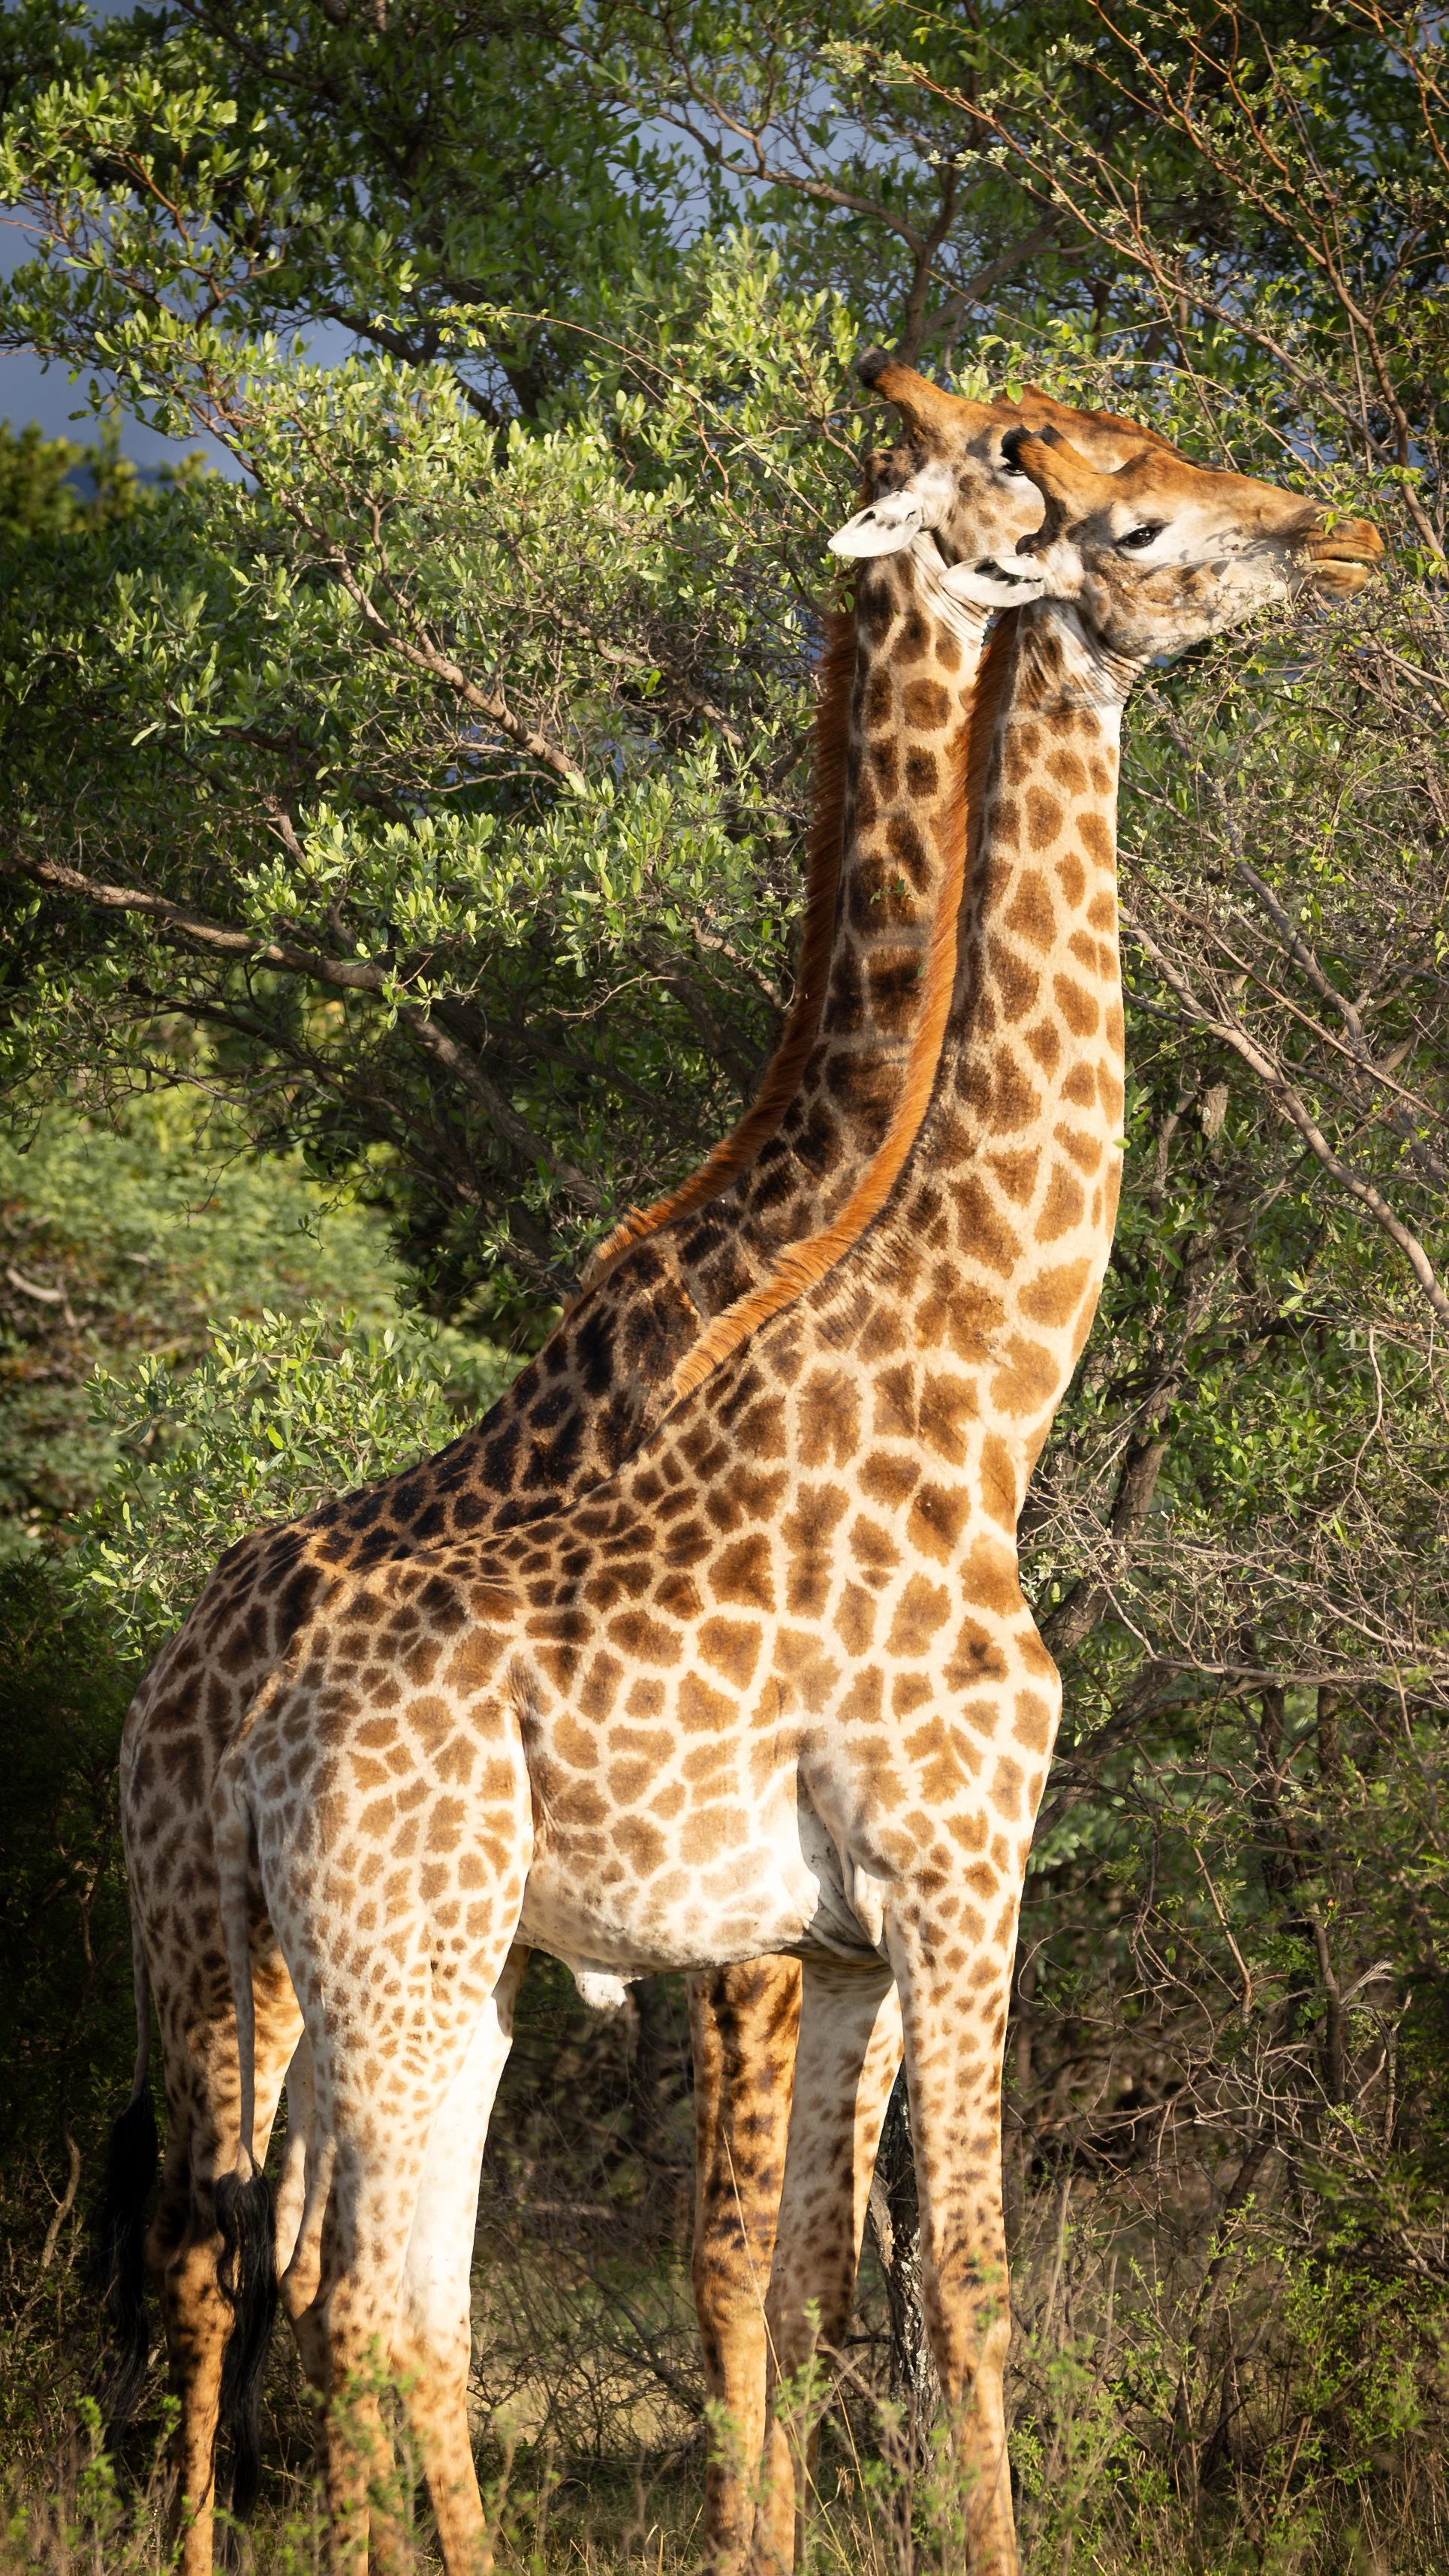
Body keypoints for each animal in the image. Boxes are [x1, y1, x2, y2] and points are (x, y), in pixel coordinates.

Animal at [206, 429, 1380, 2574]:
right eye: (1134, 519)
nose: (1334, 532)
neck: (976, 1399)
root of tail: (253, 1729)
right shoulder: (956, 1871)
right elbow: (961, 2280)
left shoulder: (831, 1943)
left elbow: (818, 2279)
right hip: (391, 1960)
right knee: (366, 2301)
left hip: (410, 1974)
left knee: (375, 2294)